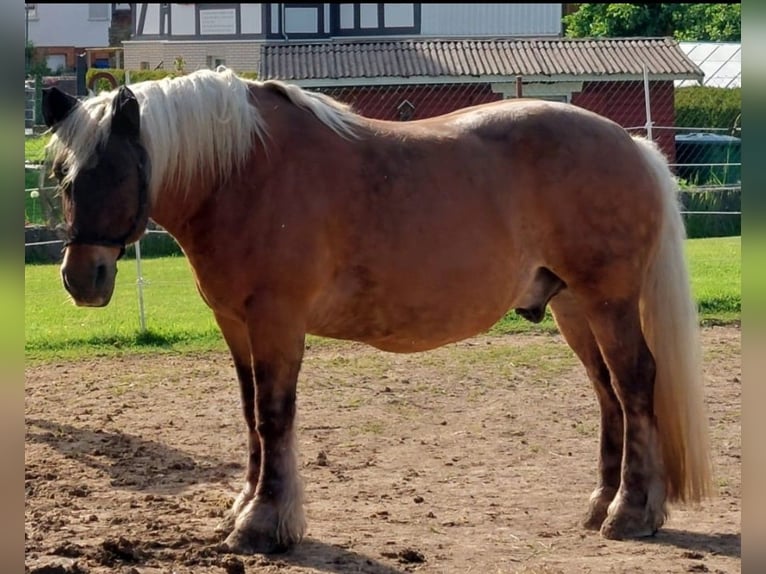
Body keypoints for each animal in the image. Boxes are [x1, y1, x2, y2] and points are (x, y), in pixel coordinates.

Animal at [41, 66, 712, 555]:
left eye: (115, 169)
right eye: (64, 176)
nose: (80, 279)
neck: (243, 173)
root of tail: (632, 145)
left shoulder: (275, 322)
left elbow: (274, 416)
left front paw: (265, 523)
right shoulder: (236, 325)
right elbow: (251, 414)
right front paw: (244, 506)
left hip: (609, 301)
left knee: (635, 384)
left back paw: (632, 512)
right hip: (575, 308)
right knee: (608, 394)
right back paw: (602, 502)